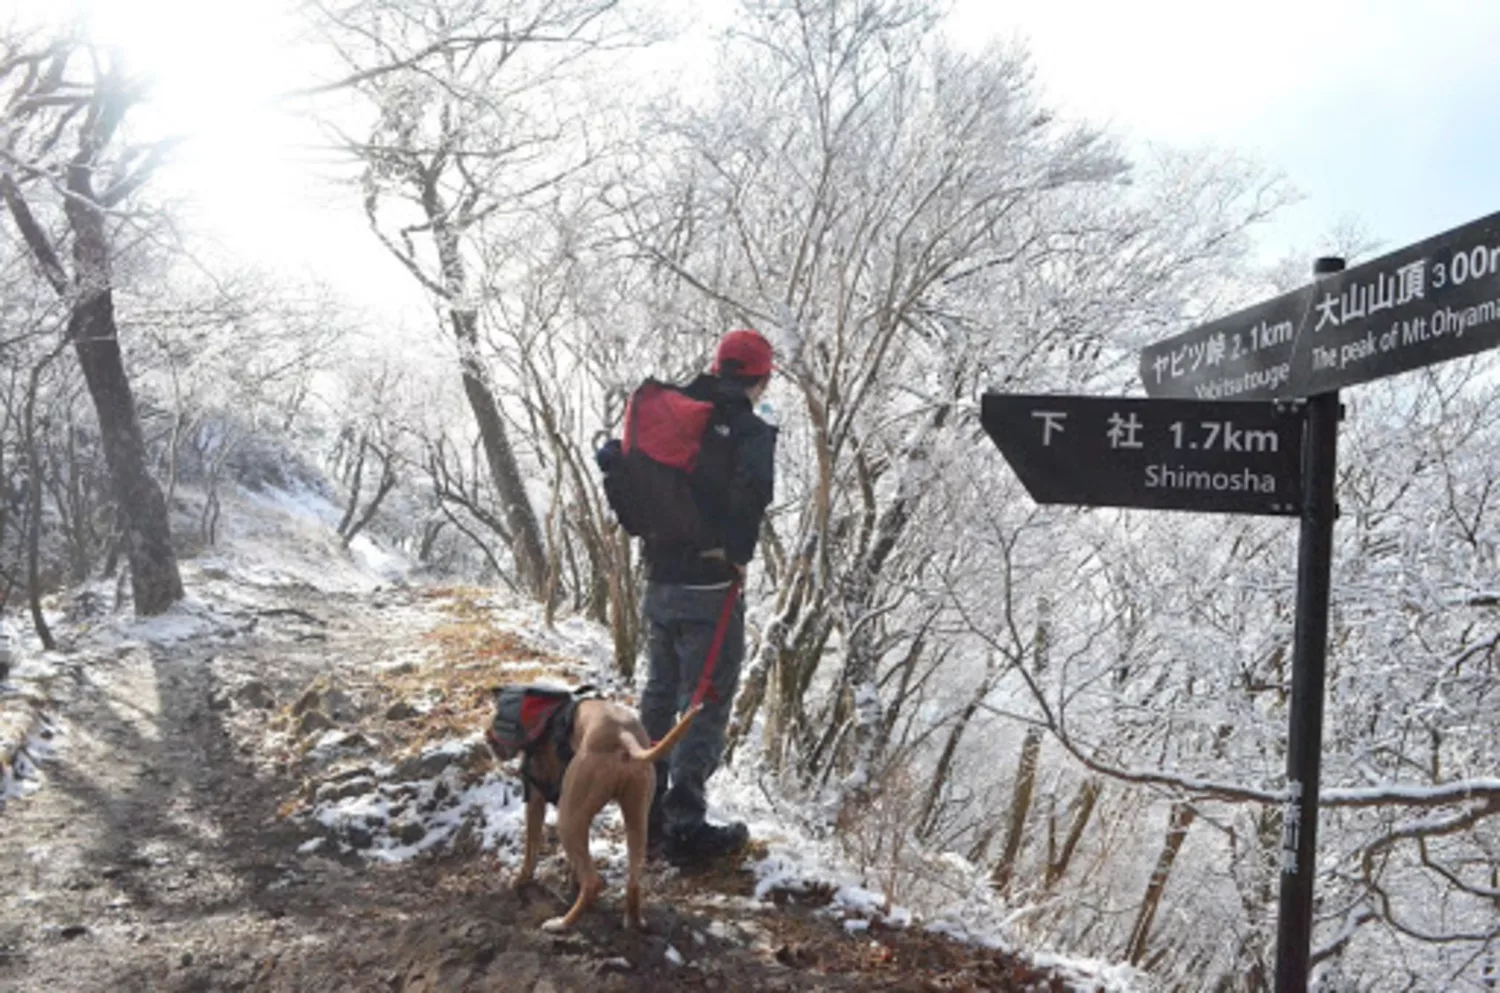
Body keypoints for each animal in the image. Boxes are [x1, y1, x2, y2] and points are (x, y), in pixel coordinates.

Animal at [492, 699, 702, 936]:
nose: (492, 742)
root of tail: (622, 734)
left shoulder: (536, 799)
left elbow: (530, 850)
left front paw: (520, 880)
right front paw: (571, 881)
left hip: (568, 819)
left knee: (593, 882)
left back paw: (562, 923)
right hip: (636, 817)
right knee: (633, 880)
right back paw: (634, 921)